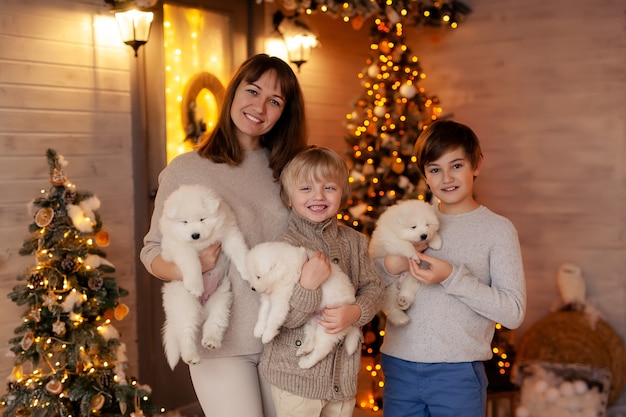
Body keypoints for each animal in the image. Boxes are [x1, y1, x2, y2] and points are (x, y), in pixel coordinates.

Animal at [158, 184, 249, 368]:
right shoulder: (179, 247)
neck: (201, 243)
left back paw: (211, 341)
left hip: (222, 297)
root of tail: (201, 310)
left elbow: (239, 249)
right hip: (184, 304)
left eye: (202, 219)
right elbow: (192, 261)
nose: (195, 235)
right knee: (185, 333)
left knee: (215, 322)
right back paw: (190, 356)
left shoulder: (229, 233)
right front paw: (196, 285)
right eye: (184, 222)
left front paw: (248, 270)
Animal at [245, 240, 358, 368]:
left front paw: (267, 335)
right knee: (312, 339)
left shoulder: (281, 299)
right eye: (251, 275)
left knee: (321, 350)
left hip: (329, 327)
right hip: (312, 320)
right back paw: (304, 350)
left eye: (258, 276)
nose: (252, 288)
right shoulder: (267, 300)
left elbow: (272, 318)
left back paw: (306, 363)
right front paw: (258, 330)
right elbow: (263, 314)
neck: (282, 270)